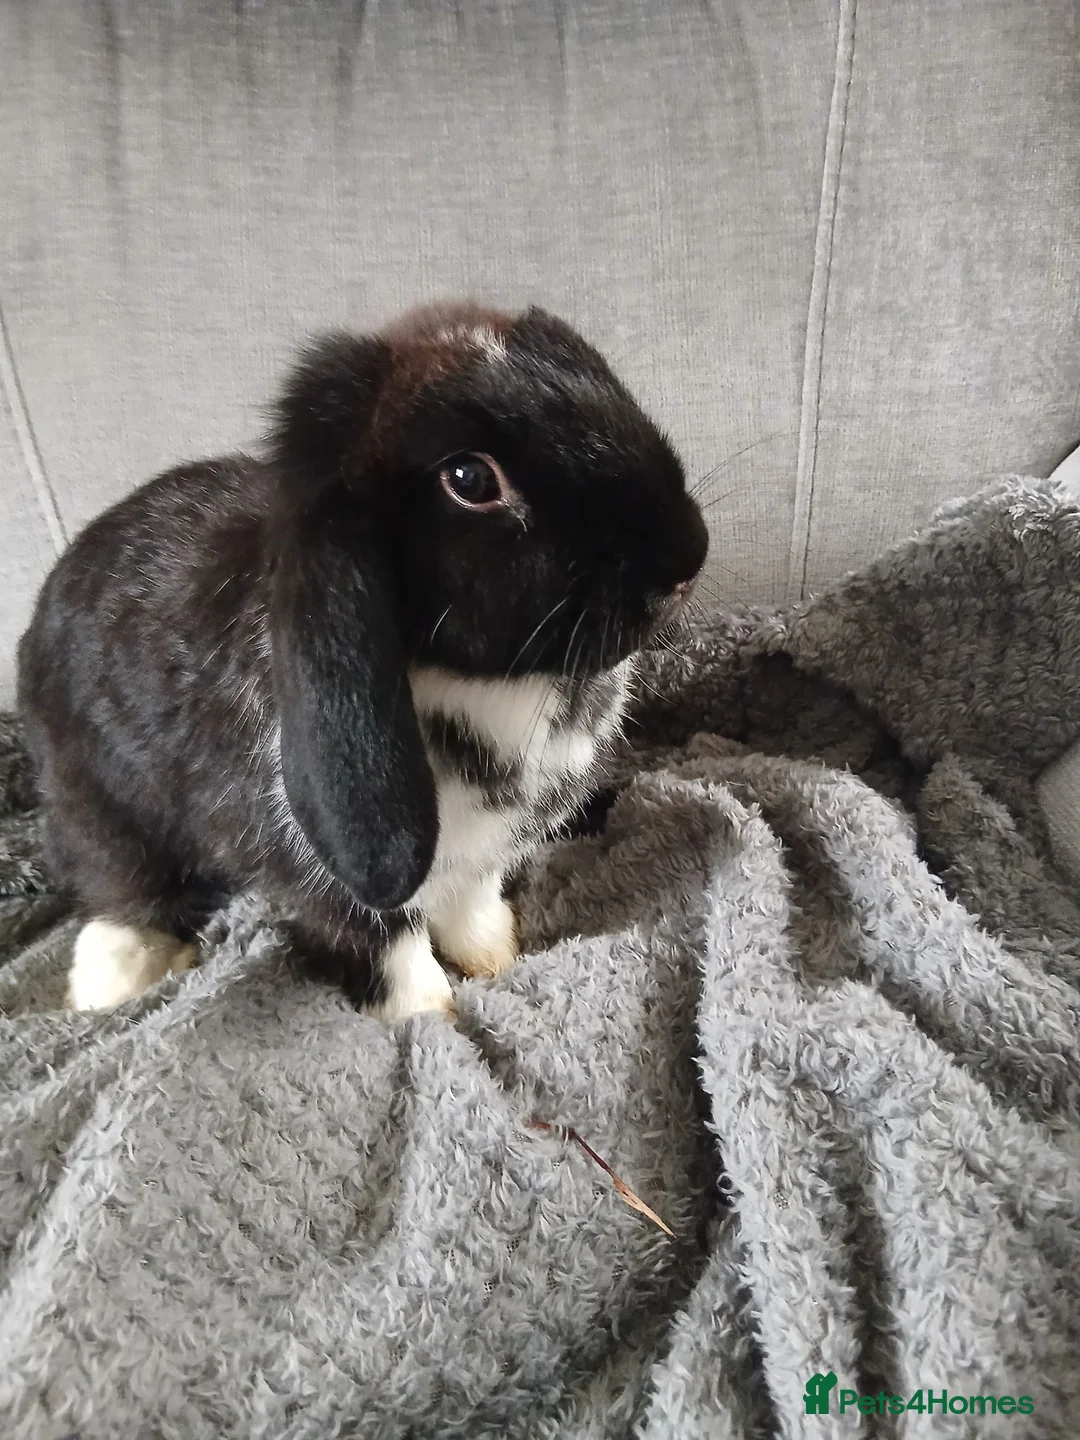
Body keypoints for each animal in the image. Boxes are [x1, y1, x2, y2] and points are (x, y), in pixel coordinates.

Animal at [17, 302, 709, 1021]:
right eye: (470, 479)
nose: (685, 558)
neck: (487, 685)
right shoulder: (334, 885)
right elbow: (393, 955)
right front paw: (435, 1018)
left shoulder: (481, 856)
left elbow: (473, 907)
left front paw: (496, 960)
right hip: (98, 798)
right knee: (115, 886)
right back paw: (116, 982)